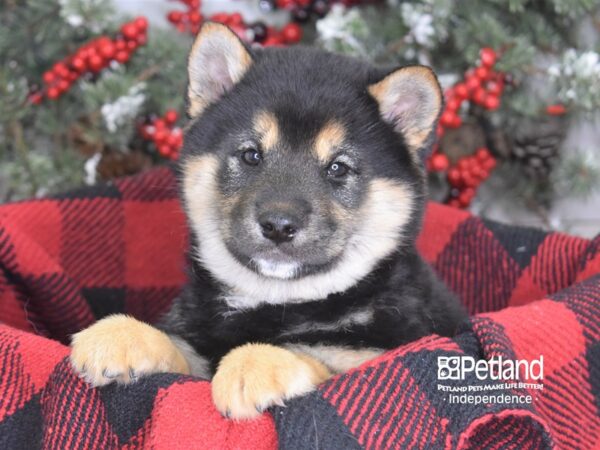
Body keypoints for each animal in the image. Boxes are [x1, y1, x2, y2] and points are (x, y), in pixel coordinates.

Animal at [69, 21, 464, 420]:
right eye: (251, 155)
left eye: (338, 168)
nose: (278, 225)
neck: (274, 303)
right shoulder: (199, 342)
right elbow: (179, 346)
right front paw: (121, 335)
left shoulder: (384, 352)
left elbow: (314, 354)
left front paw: (255, 363)